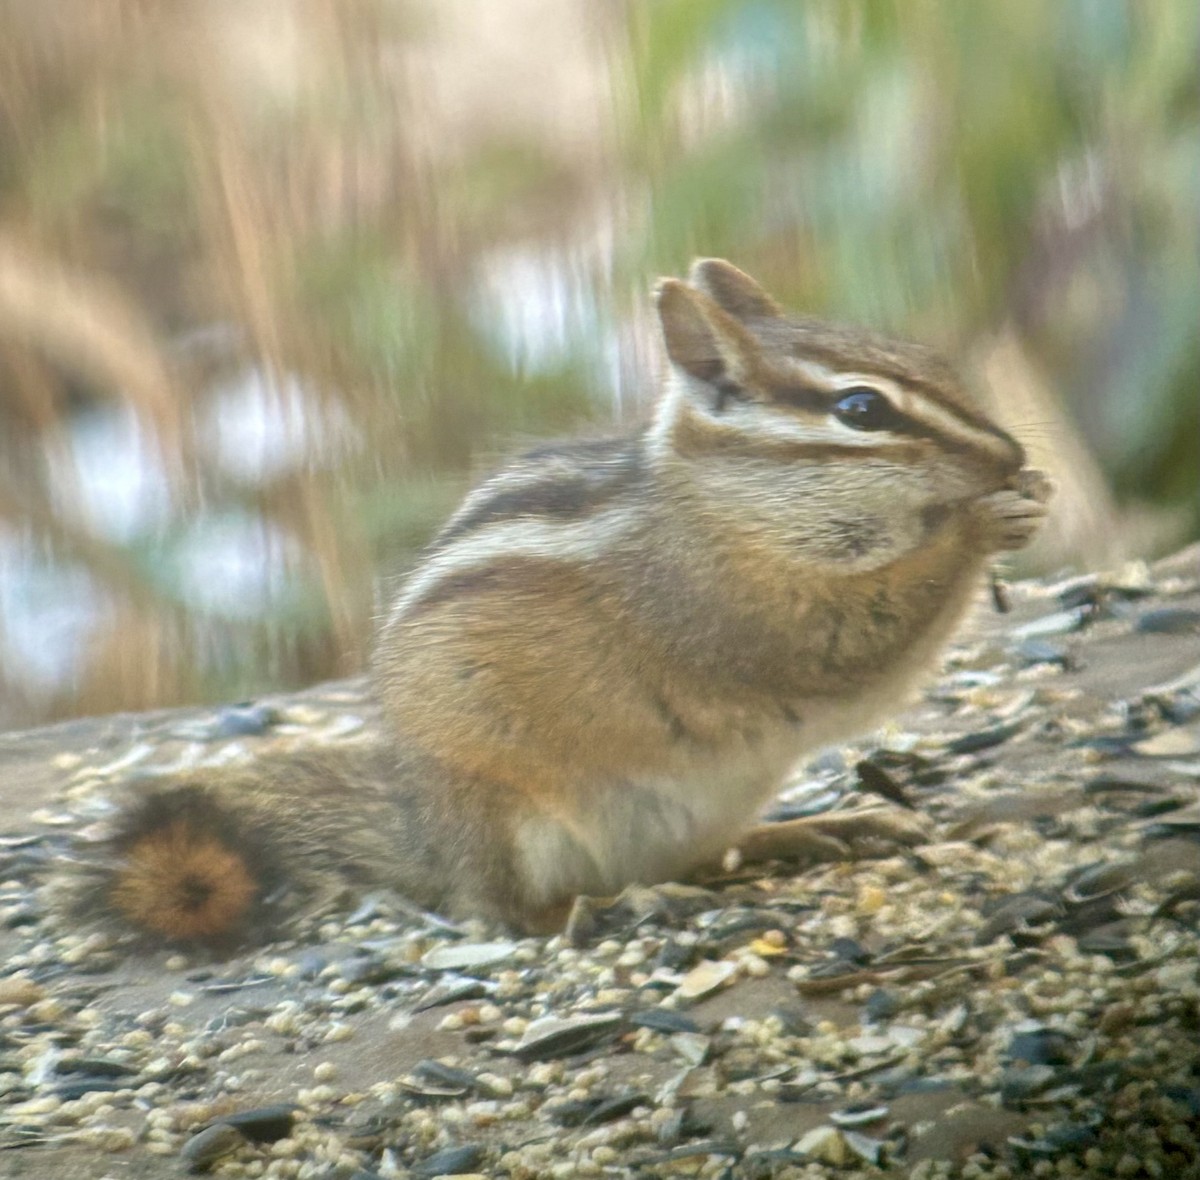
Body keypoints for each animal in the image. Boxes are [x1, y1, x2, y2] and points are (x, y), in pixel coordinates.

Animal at [84, 259, 1051, 945]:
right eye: (860, 410)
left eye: (932, 363)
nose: (1009, 455)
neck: (722, 506)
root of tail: (425, 830)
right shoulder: (736, 608)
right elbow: (860, 639)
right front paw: (979, 526)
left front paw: (1027, 497)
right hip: (507, 820)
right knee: (503, 912)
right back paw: (595, 911)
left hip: (712, 802)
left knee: (704, 854)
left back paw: (814, 828)